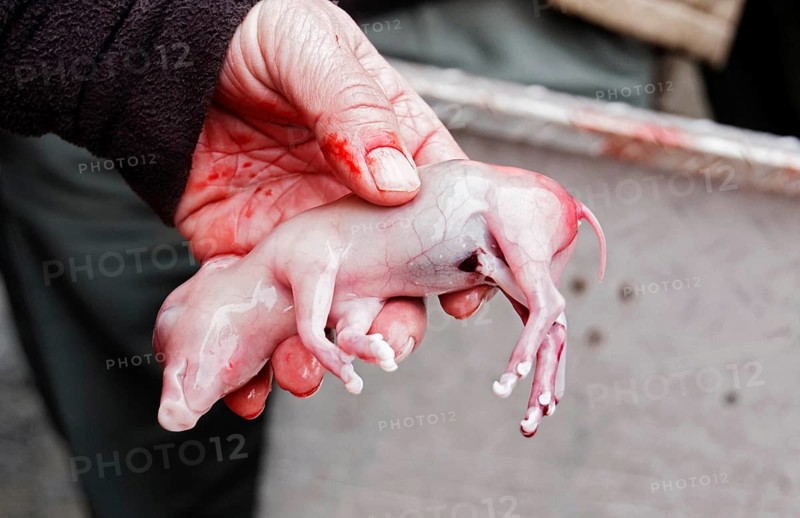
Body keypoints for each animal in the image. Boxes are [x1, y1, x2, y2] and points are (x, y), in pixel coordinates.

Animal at [154, 159, 606, 436]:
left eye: (167, 315)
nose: (168, 414)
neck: (264, 281)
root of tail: (574, 203)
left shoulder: (310, 257)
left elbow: (310, 327)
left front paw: (348, 372)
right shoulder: (357, 302)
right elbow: (349, 332)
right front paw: (380, 351)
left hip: (521, 227)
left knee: (550, 303)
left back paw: (513, 373)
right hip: (539, 256)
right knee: (553, 321)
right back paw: (540, 403)